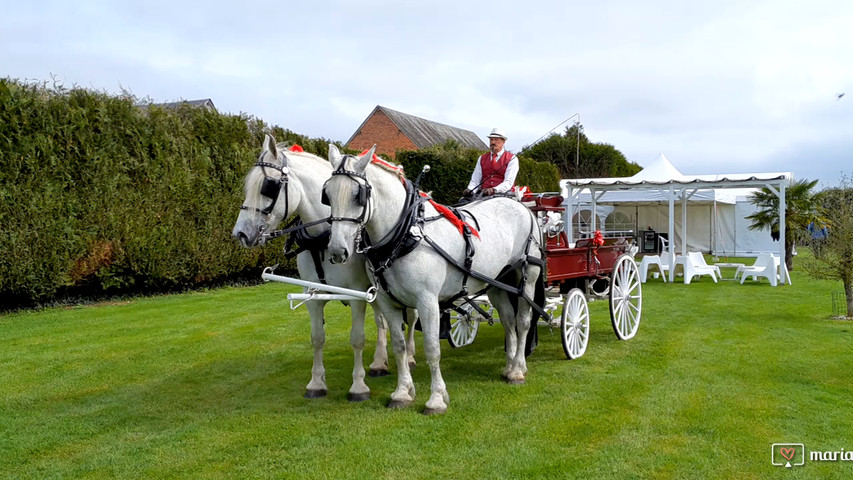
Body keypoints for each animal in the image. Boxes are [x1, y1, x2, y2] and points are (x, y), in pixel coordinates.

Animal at [226, 135, 412, 402]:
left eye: (268, 186)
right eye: (248, 186)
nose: (240, 234)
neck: (323, 238)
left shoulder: (357, 294)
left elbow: (357, 339)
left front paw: (358, 387)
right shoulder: (311, 294)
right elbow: (317, 338)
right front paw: (316, 383)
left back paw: (408, 358)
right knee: (381, 321)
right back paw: (379, 362)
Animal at [322, 144, 544, 414]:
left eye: (358, 195)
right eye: (327, 194)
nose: (337, 251)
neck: (406, 234)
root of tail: (522, 206)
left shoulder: (427, 301)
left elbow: (432, 347)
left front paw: (437, 398)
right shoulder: (387, 302)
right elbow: (398, 345)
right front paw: (402, 393)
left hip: (527, 277)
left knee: (523, 321)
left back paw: (519, 369)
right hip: (496, 283)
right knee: (509, 321)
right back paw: (509, 366)